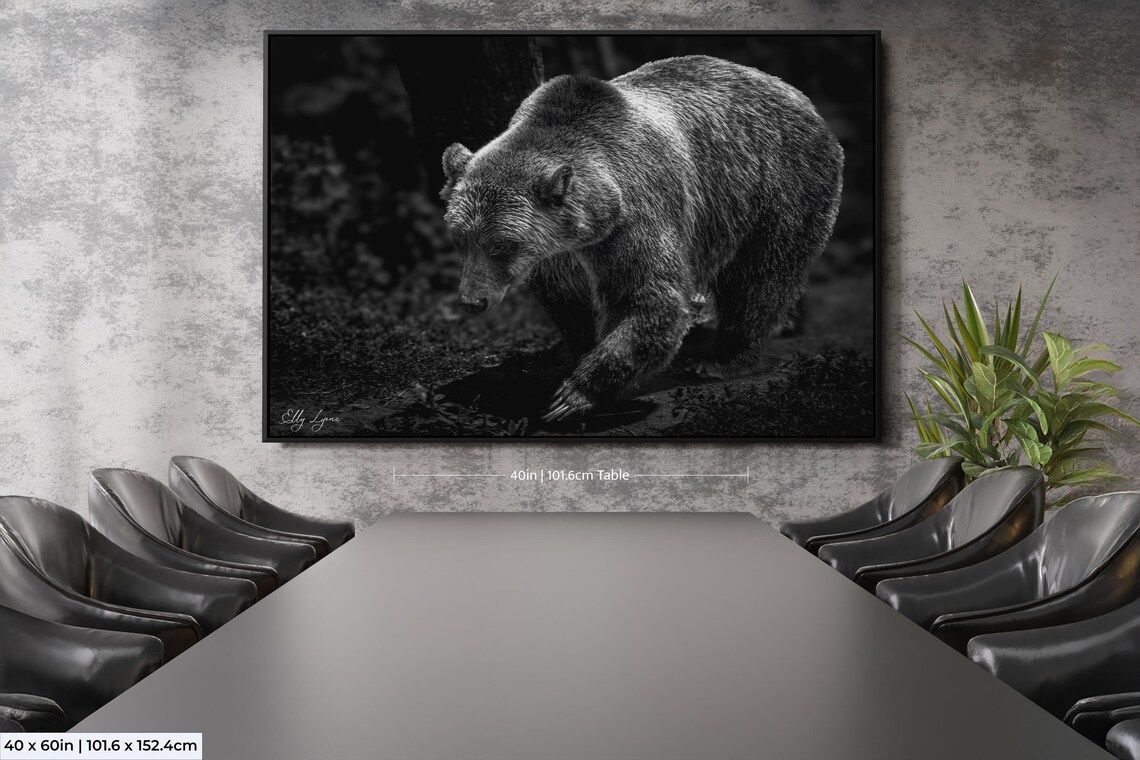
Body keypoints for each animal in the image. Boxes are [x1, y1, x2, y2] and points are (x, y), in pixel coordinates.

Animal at [439, 55, 844, 421]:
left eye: (501, 246)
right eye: (461, 240)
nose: (473, 301)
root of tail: (801, 97)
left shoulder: (634, 217)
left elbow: (650, 297)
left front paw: (572, 396)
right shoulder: (557, 255)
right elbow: (570, 302)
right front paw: (579, 354)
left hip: (776, 187)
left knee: (759, 277)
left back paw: (722, 359)